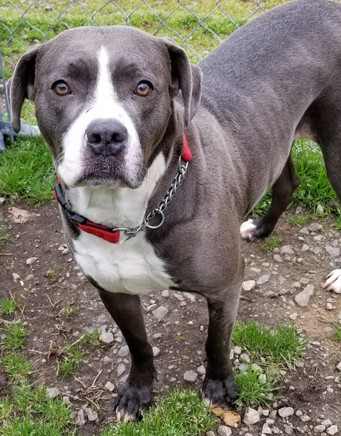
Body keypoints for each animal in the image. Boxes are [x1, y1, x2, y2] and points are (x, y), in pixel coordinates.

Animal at [6, 0, 340, 424]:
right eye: (61, 87)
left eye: (144, 87)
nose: (105, 135)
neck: (130, 216)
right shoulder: (113, 292)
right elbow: (138, 345)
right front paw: (137, 392)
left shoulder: (225, 287)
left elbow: (216, 342)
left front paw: (219, 387)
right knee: (287, 182)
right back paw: (261, 228)